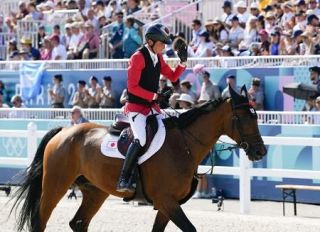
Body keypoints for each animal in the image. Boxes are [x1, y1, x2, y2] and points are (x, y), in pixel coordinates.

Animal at [11, 85, 266, 232]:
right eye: (244, 118)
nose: (260, 152)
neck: (183, 145)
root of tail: (64, 131)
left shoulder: (166, 205)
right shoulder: (166, 201)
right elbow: (191, 229)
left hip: (95, 192)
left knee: (79, 223)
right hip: (55, 186)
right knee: (40, 222)